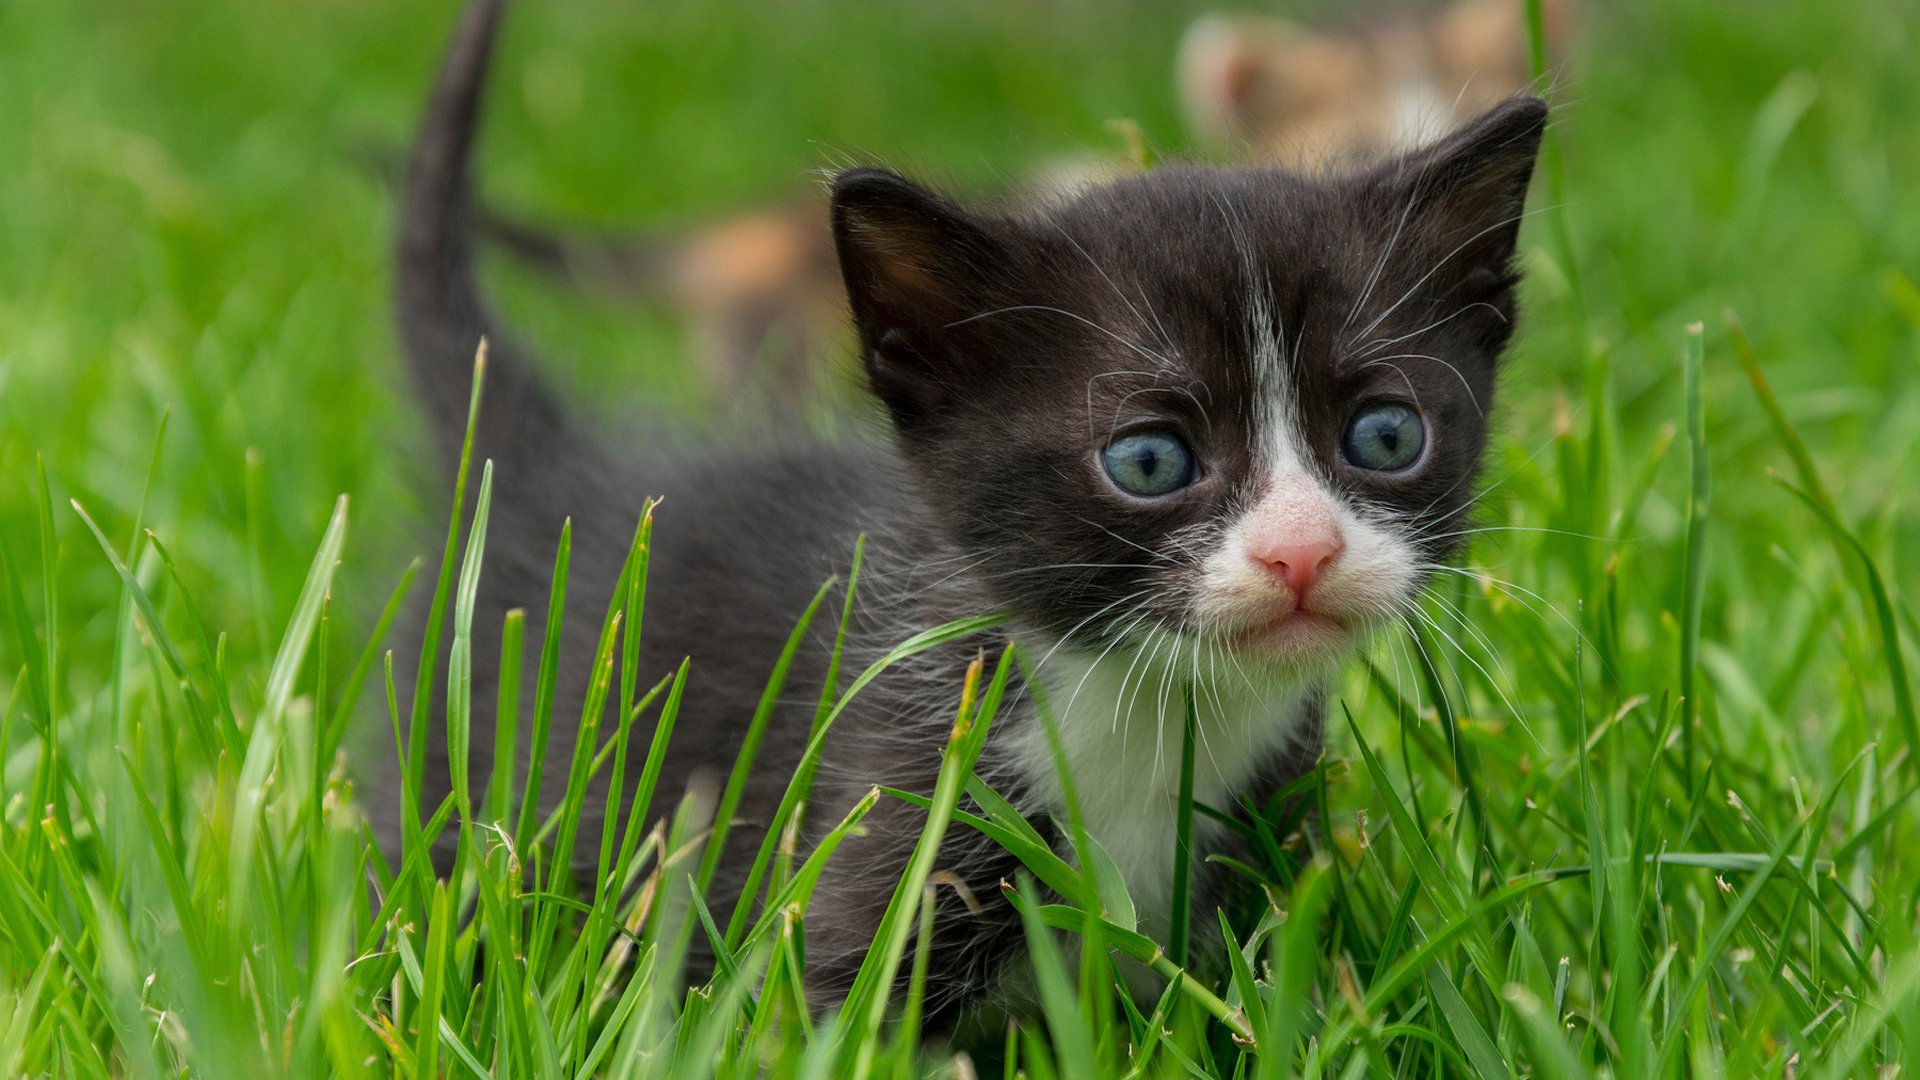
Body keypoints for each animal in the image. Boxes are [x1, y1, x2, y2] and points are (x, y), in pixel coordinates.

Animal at [385, 0, 1543, 1022]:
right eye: (1149, 459)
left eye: (1385, 436)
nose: (1301, 552)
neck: (1152, 718)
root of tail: (547, 461)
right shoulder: (889, 818)